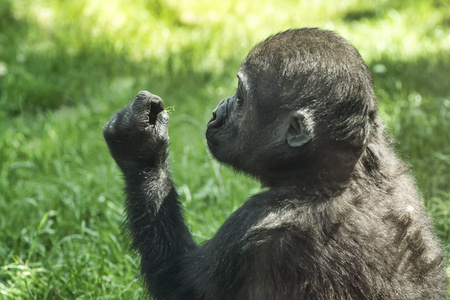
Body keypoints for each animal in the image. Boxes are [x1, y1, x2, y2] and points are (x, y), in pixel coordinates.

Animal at [104, 27, 446, 298]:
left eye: (240, 98)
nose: (216, 112)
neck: (333, 175)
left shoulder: (252, 225)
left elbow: (176, 282)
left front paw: (140, 148)